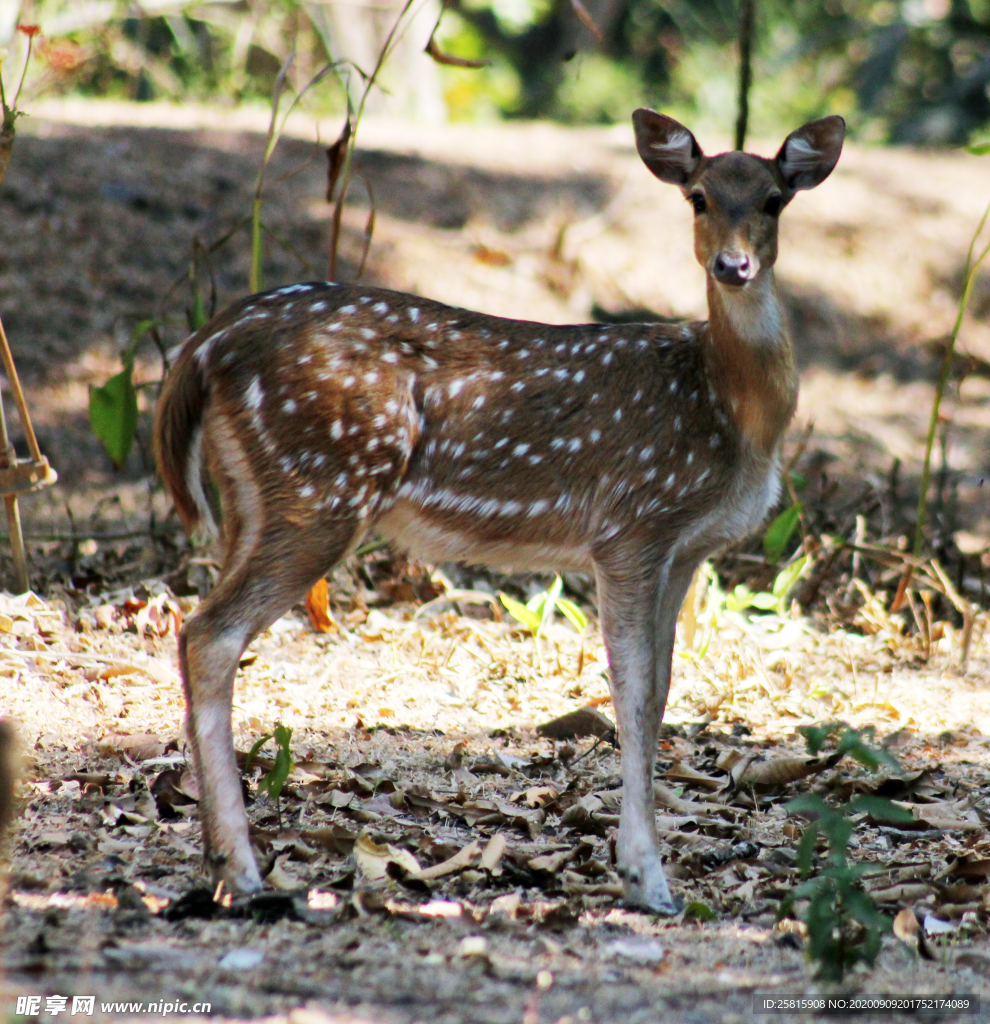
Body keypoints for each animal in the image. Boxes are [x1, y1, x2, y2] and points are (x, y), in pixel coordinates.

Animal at [154, 110, 843, 913]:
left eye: (773, 200)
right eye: (698, 197)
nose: (733, 265)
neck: (730, 407)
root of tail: (205, 345)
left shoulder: (686, 549)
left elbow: (662, 691)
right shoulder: (630, 524)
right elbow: (632, 690)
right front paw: (646, 878)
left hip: (251, 497)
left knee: (202, 626)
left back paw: (219, 864)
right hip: (324, 484)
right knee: (209, 634)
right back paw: (242, 871)